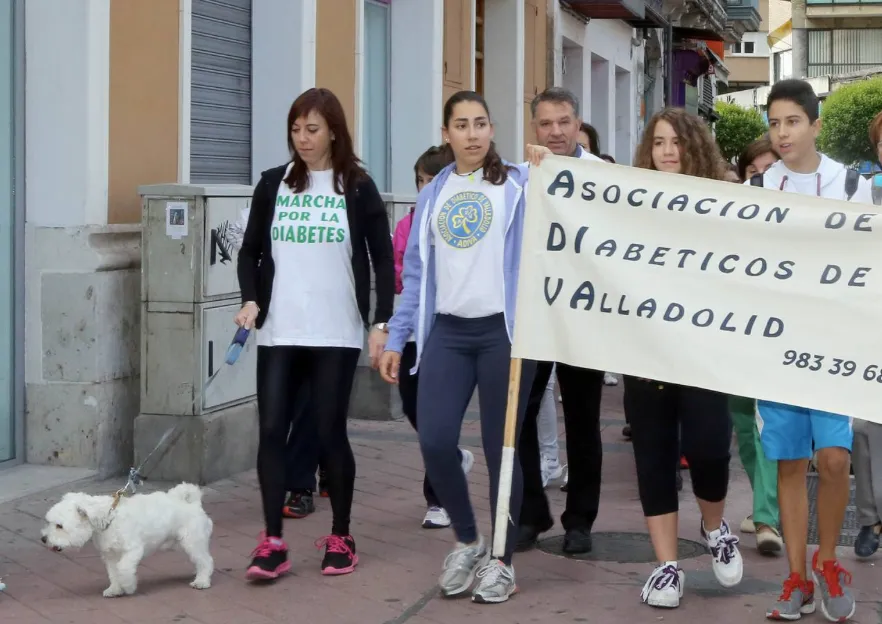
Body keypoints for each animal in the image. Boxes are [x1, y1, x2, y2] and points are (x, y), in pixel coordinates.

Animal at [41, 480, 213, 596]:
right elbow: (113, 573)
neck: (109, 518)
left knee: (206, 561)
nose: (43, 539)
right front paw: (115, 589)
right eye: (49, 522)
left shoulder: (133, 550)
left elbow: (123, 569)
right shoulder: (110, 555)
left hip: (192, 542)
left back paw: (202, 581)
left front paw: (128, 586)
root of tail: (192, 502)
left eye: (59, 526)